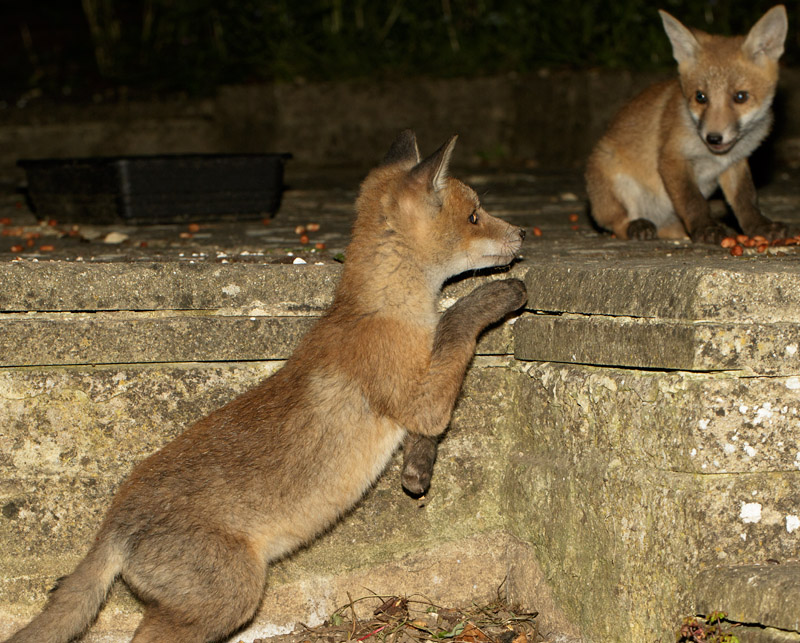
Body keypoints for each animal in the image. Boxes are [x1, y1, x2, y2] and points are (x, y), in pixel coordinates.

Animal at [3, 130, 527, 643]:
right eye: (475, 216)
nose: (522, 234)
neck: (383, 309)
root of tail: (113, 522)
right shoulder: (417, 396)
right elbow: (456, 327)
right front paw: (497, 295)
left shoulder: (420, 399)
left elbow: (426, 431)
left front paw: (418, 470)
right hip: (234, 593)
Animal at [586, 5, 789, 243]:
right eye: (700, 97)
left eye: (740, 97)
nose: (713, 137)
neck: (713, 157)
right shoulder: (672, 158)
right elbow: (692, 201)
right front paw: (705, 228)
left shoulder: (735, 163)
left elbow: (746, 200)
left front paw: (759, 226)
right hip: (611, 175)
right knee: (617, 224)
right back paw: (636, 226)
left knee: (670, 229)